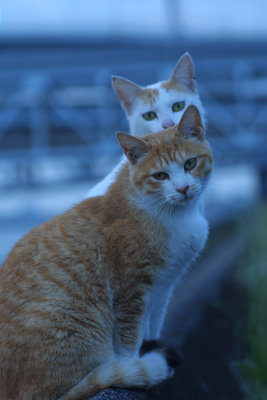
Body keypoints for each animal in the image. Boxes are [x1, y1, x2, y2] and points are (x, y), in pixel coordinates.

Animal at [0, 104, 214, 398]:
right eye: (160, 175)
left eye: (190, 164)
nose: (182, 188)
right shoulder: (132, 289)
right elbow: (129, 340)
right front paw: (139, 362)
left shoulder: (164, 288)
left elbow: (153, 326)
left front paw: (153, 345)